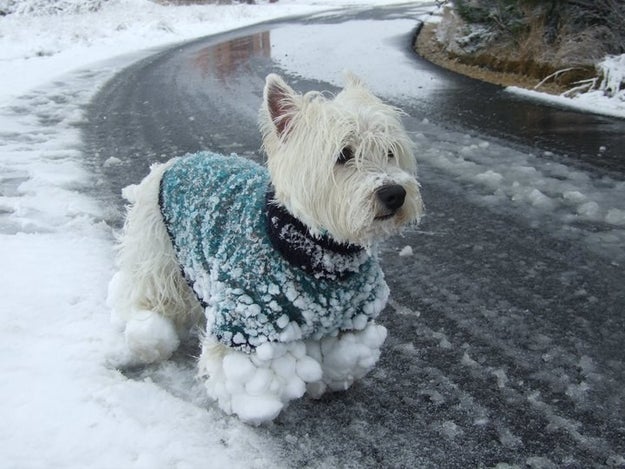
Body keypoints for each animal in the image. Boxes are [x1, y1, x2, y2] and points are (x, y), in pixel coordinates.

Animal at [108, 73, 424, 424]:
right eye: (343, 154)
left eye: (390, 152)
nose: (394, 193)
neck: (316, 251)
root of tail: (174, 162)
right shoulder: (249, 316)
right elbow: (244, 373)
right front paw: (254, 405)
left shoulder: (354, 315)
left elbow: (345, 355)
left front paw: (332, 380)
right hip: (161, 254)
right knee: (154, 295)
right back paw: (148, 339)